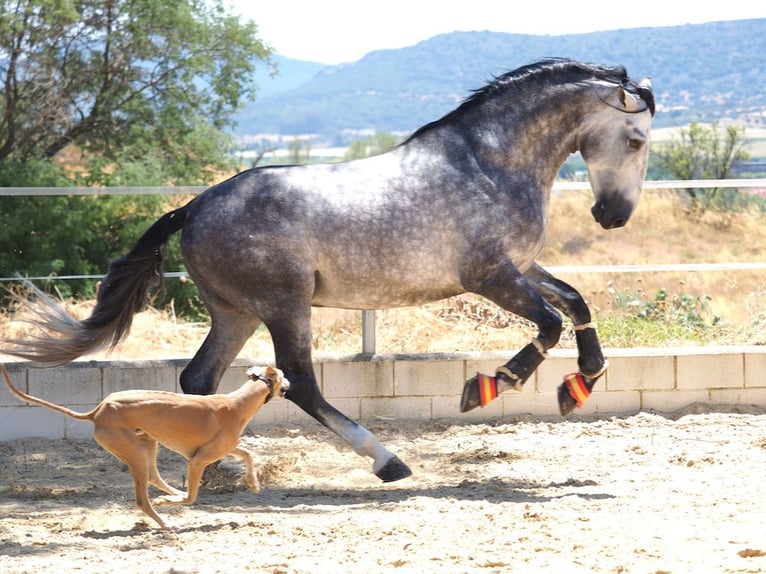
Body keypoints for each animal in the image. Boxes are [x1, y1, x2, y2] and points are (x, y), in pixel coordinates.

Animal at [1, 364, 290, 532]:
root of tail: (98, 411)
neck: (237, 403)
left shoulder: (219, 450)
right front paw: (170, 502)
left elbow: (248, 453)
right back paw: (164, 520)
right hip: (136, 452)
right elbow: (192, 497)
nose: (291, 384)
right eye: (284, 376)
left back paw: (170, 496)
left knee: (153, 477)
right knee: (143, 498)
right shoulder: (197, 461)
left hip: (147, 444)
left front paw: (253, 484)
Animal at [4, 58, 656, 484]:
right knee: (300, 382)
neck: (488, 163)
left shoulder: (518, 267)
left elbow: (574, 302)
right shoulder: (489, 275)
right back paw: (388, 461)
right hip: (284, 305)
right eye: (635, 139)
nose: (614, 215)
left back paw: (215, 471)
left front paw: (581, 384)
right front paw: (489, 385)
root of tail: (194, 207)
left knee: (198, 379)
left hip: (237, 312)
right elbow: (549, 323)